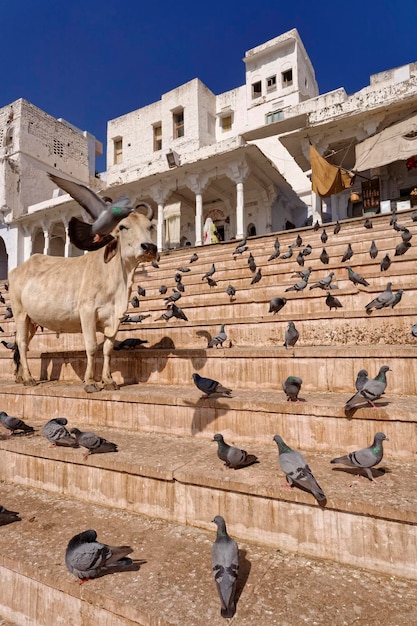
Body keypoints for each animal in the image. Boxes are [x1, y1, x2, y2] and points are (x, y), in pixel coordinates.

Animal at [8, 212, 158, 392]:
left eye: (150, 226)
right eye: (123, 227)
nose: (149, 247)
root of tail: (17, 269)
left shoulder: (114, 319)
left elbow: (108, 349)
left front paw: (108, 380)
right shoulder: (87, 312)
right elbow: (92, 347)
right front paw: (90, 382)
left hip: (32, 320)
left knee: (20, 342)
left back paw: (20, 377)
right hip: (20, 313)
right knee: (22, 343)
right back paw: (29, 378)